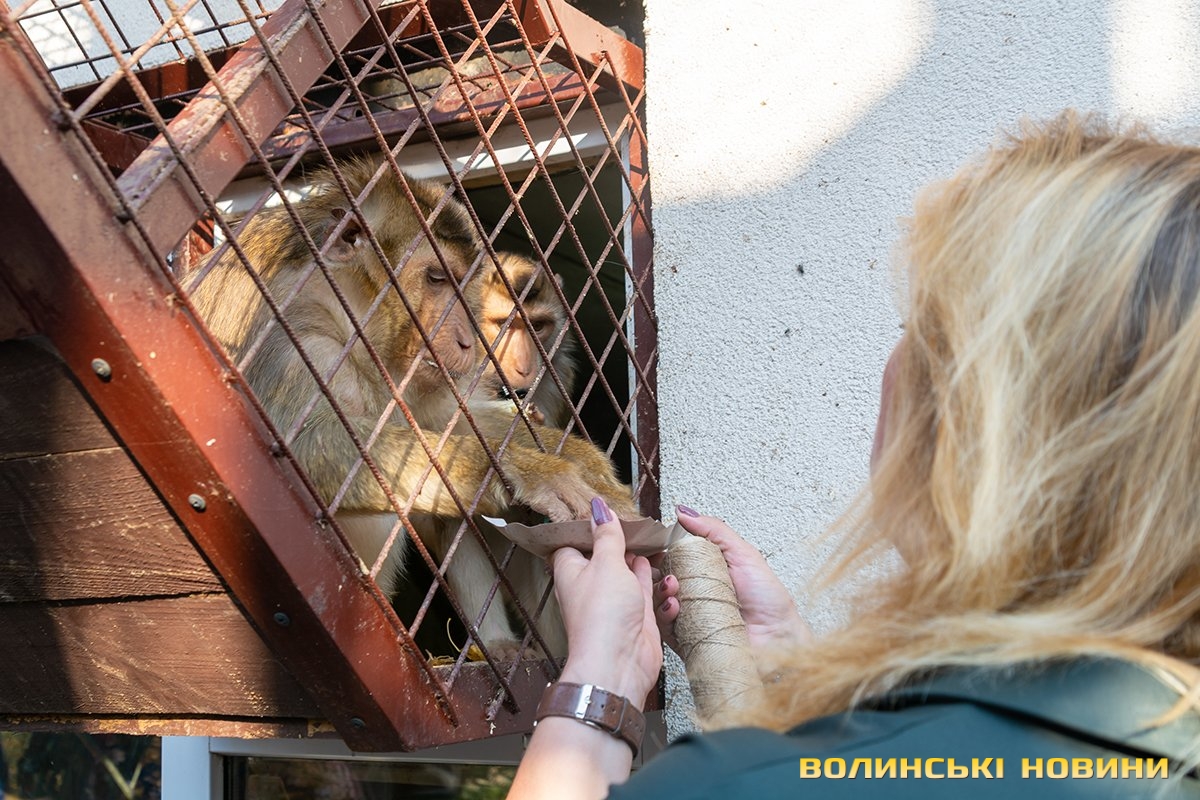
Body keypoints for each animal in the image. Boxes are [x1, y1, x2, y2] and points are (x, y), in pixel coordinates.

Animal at [184, 160, 635, 659]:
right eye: (436, 278)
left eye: (461, 286)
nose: (466, 341)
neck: (340, 306)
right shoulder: (287, 333)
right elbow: (293, 451)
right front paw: (522, 472)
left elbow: (437, 420)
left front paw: (578, 459)